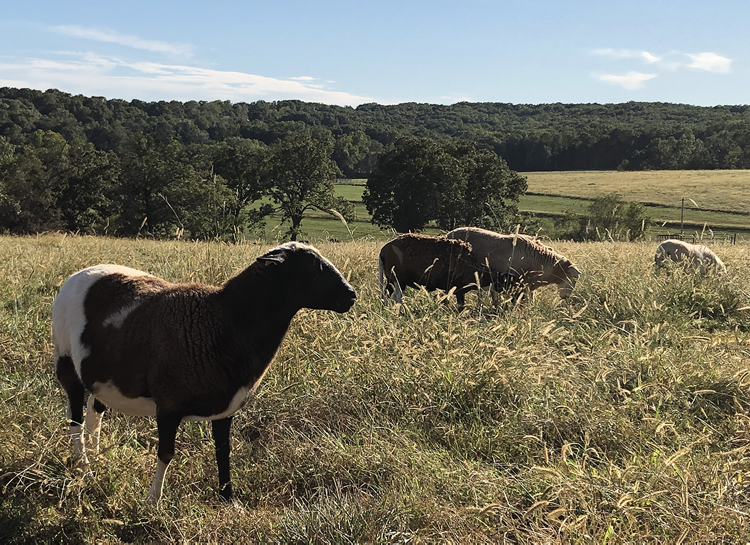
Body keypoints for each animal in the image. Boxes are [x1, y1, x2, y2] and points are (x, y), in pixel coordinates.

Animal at [53, 242, 358, 502]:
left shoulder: (225, 411)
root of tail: (81, 273)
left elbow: (223, 451)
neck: (224, 322)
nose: (352, 296)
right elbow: (166, 453)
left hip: (102, 374)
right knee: (75, 420)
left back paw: (96, 459)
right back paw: (84, 469)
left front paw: (228, 500)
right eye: (311, 268)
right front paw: (153, 502)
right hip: (66, 362)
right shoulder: (169, 405)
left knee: (95, 411)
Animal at [376, 233, 512, 306]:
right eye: (505, 281)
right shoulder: (454, 289)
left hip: (390, 280)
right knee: (397, 296)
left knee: (386, 295)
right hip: (398, 280)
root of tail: (383, 251)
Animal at [446, 226, 580, 302]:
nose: (566, 297)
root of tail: (448, 234)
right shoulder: (516, 284)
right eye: (574, 277)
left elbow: (530, 301)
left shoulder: (527, 285)